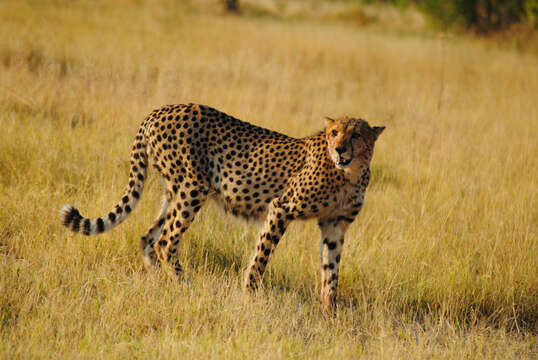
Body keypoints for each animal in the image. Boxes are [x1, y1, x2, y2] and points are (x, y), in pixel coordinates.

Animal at [60, 102, 384, 308]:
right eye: (334, 133)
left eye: (356, 134)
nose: (339, 149)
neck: (349, 172)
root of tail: (159, 110)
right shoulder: (281, 207)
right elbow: (261, 257)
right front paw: (250, 296)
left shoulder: (335, 225)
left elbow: (331, 271)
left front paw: (331, 313)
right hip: (193, 188)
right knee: (166, 241)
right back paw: (184, 286)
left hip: (173, 192)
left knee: (147, 238)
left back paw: (160, 282)